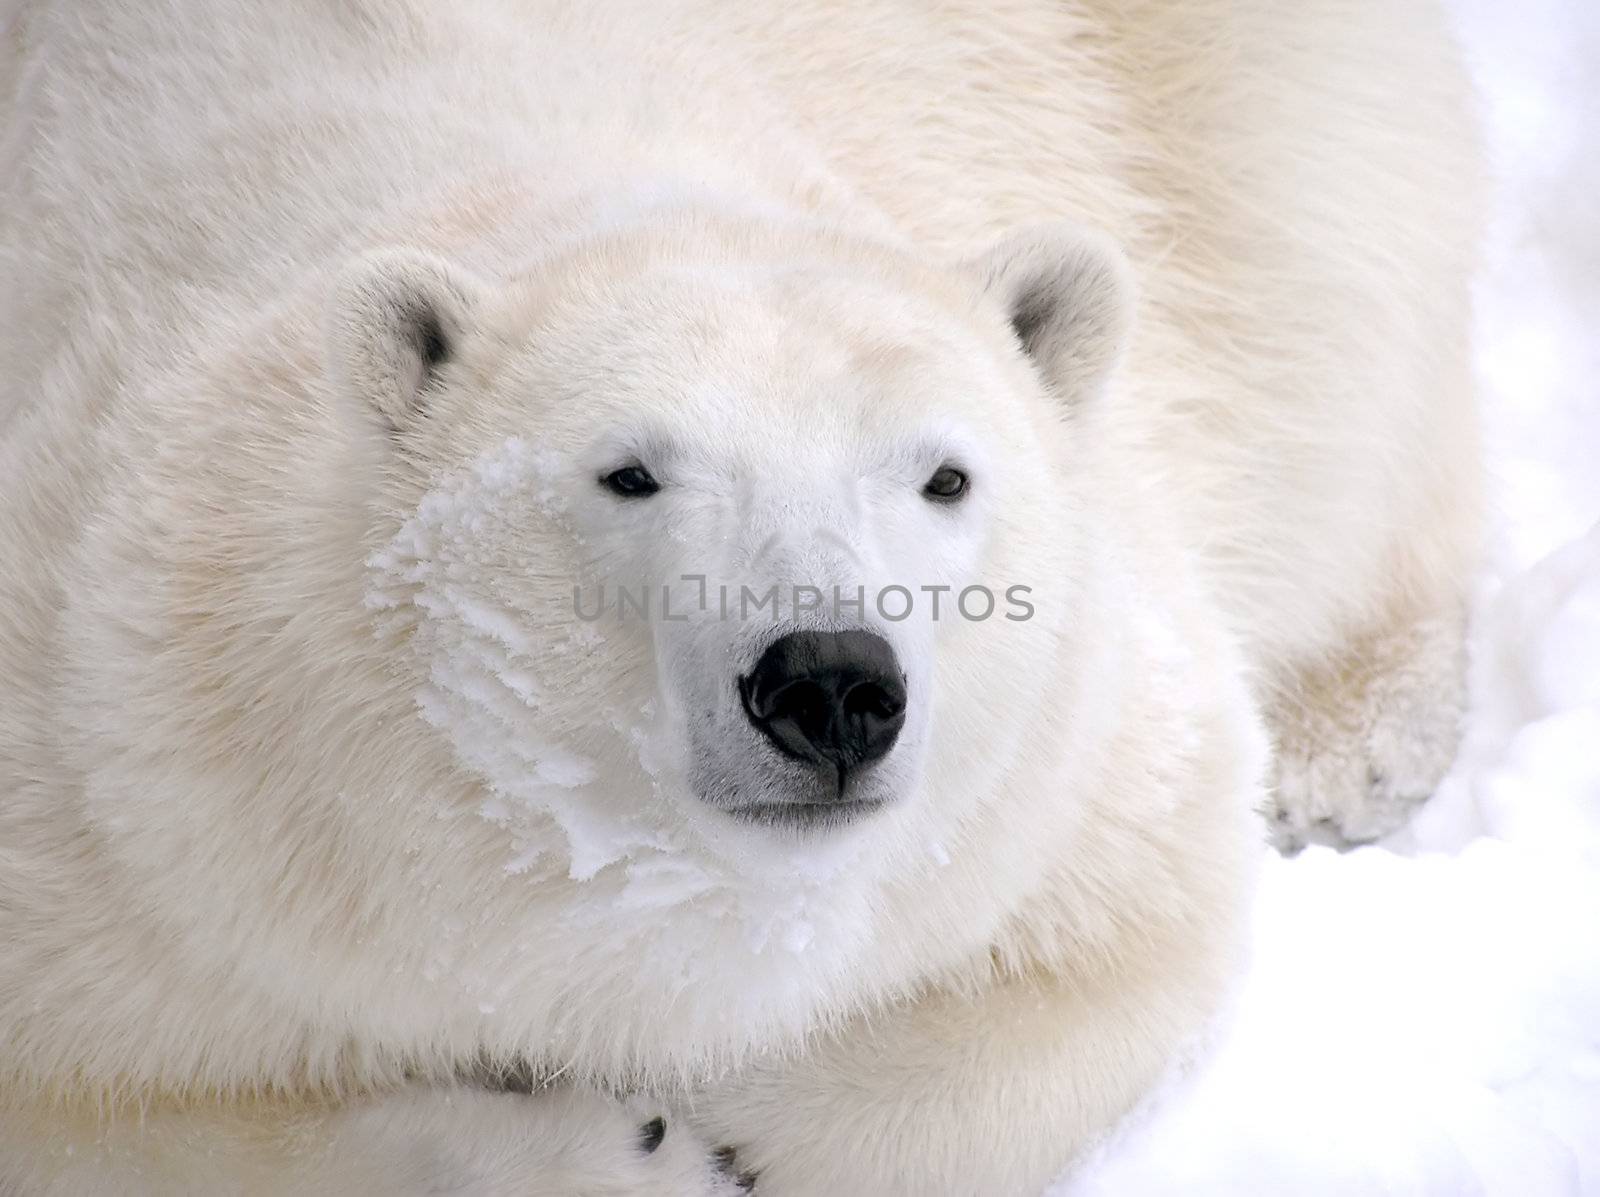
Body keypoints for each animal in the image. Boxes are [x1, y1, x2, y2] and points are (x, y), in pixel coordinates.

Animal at [0, 0, 1472, 1190]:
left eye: (944, 475)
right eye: (630, 473)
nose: (828, 685)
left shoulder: (1074, 761)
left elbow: (1126, 954)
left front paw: (724, 1122)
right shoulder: (158, 784)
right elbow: (89, 1106)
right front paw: (614, 1150)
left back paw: (1354, 739)